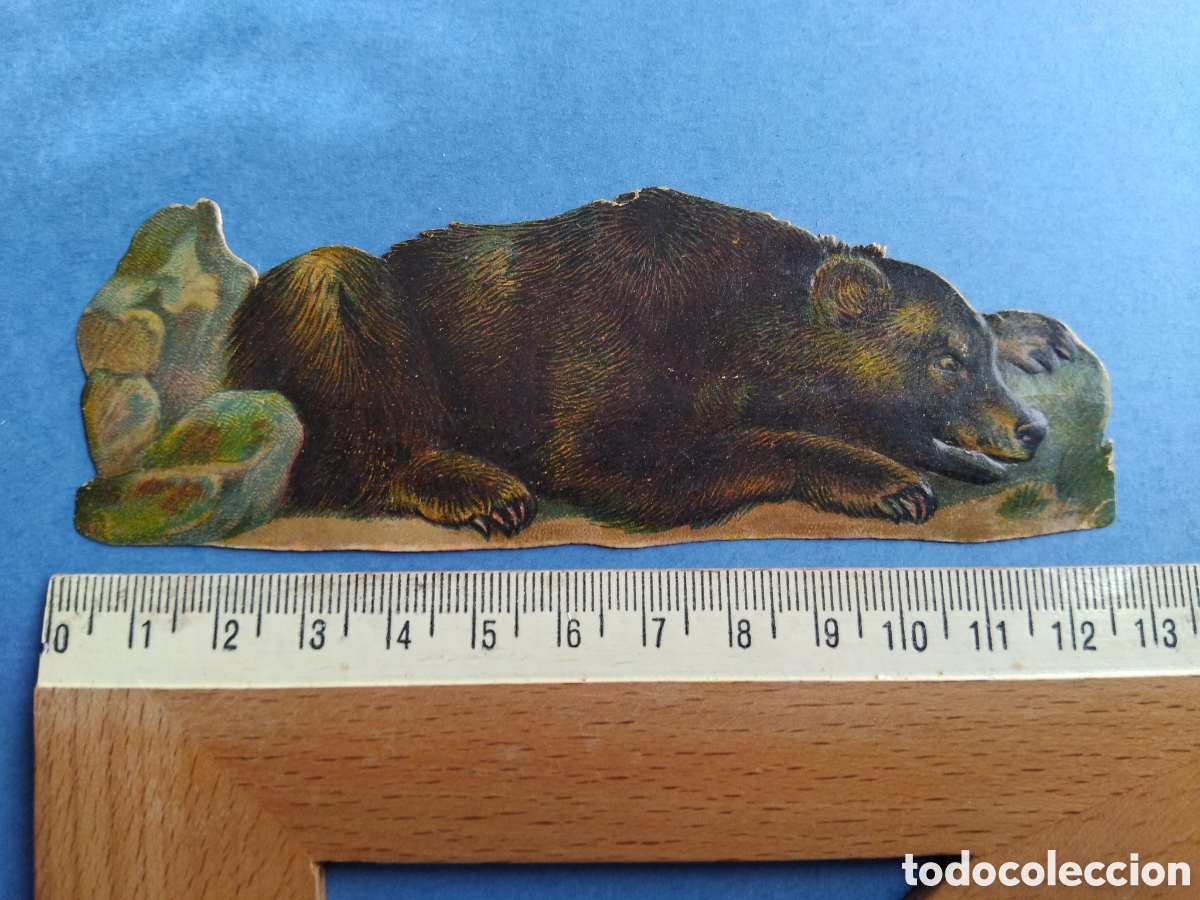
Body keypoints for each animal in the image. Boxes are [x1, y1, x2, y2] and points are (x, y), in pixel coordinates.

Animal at [226, 187, 1075, 538]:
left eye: (978, 357)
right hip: (352, 320)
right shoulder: (616, 334)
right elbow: (628, 459)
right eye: (945, 362)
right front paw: (887, 482)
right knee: (338, 298)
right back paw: (479, 487)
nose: (1028, 429)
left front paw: (1034, 331)